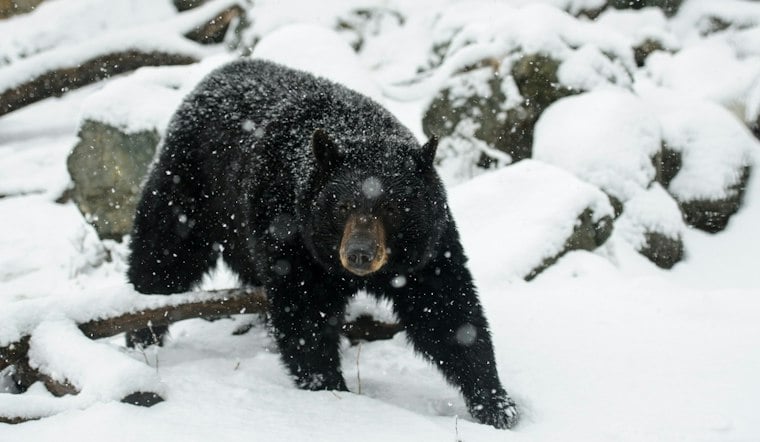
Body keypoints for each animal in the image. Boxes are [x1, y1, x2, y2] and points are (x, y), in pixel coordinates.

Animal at [127, 59, 519, 429]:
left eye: (391, 208)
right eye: (342, 205)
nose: (359, 254)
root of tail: (217, 74)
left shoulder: (427, 246)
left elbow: (447, 311)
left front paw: (497, 403)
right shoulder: (291, 236)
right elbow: (304, 314)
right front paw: (330, 391)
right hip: (189, 187)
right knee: (162, 257)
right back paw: (140, 338)